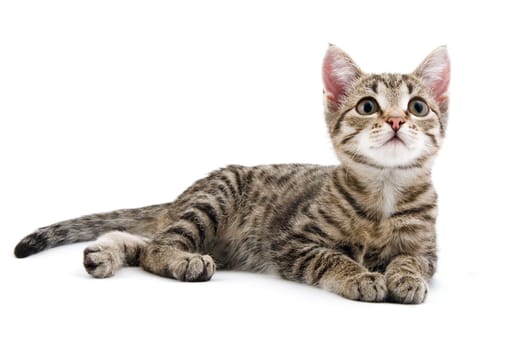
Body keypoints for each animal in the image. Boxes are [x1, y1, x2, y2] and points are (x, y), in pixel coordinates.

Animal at [13, 45, 446, 304]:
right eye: (368, 106)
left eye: (418, 107)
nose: (395, 120)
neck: (384, 188)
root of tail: (180, 198)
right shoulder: (291, 241)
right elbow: (329, 257)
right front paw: (359, 276)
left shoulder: (426, 250)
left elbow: (410, 261)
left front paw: (405, 278)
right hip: (212, 201)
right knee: (156, 248)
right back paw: (181, 261)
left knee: (142, 241)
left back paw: (102, 253)